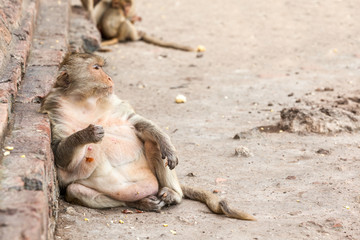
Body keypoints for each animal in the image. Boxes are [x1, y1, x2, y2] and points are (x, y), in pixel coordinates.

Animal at [41, 53, 256, 221]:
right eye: (96, 68)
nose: (109, 77)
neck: (85, 101)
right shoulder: (55, 110)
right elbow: (60, 154)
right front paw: (86, 134)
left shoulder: (114, 102)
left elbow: (137, 123)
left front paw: (167, 145)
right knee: (75, 190)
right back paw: (140, 202)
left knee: (153, 144)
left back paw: (173, 193)